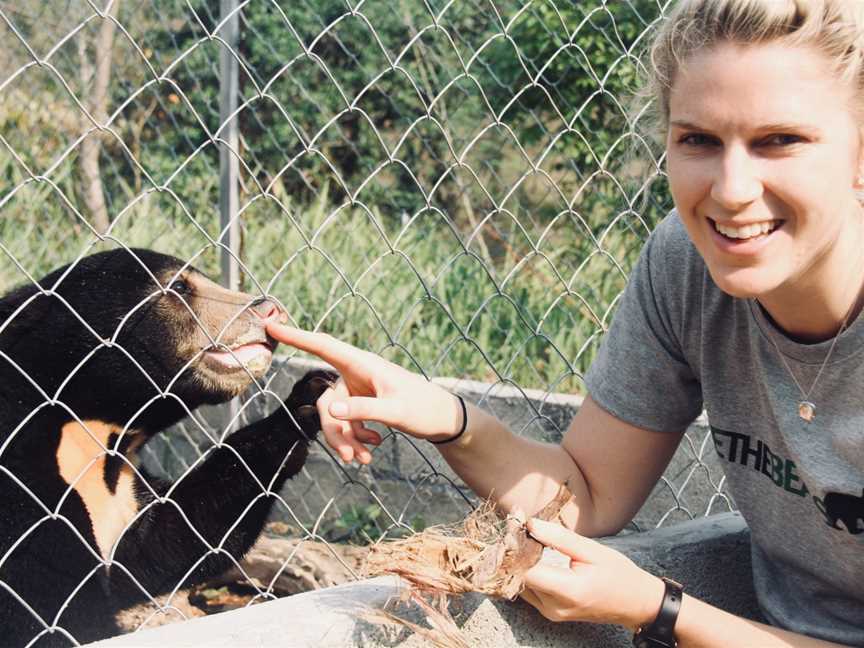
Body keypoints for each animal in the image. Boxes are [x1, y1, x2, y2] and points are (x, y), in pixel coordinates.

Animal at [0, 247, 334, 644]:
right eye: (179, 286)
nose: (269, 308)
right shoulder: (21, 489)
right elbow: (54, 597)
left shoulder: (123, 491)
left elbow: (163, 541)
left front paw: (307, 400)